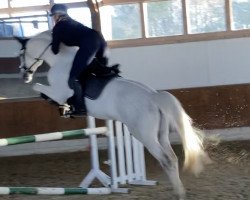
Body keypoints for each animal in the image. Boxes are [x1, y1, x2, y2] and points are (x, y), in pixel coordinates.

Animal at [15, 30, 210, 199]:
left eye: (20, 54)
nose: (24, 74)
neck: (59, 59)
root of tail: (153, 97)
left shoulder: (59, 92)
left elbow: (38, 88)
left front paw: (60, 107)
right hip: (160, 135)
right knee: (173, 158)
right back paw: (180, 191)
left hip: (144, 136)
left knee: (166, 160)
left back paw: (179, 193)